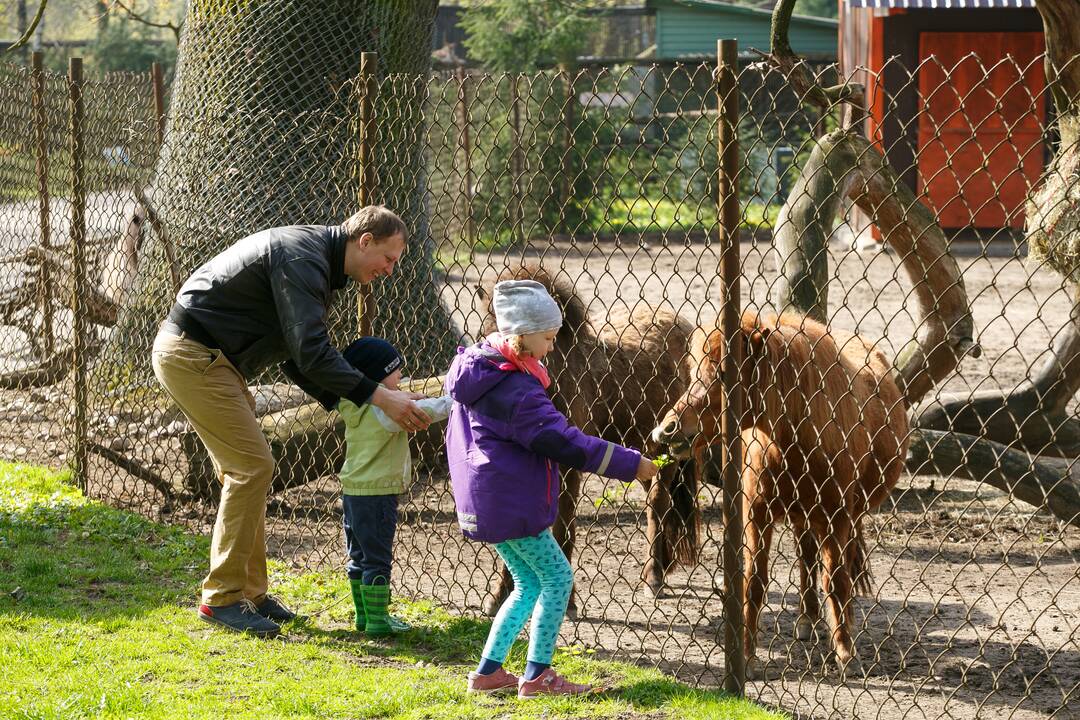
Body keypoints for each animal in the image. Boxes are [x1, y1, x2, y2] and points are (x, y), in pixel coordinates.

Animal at [479, 267, 699, 617]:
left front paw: (566, 602)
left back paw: (654, 577)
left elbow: (564, 528)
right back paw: (660, 569)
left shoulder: (569, 470)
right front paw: (498, 596)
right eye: (486, 333)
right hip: (643, 450)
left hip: (666, 449)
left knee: (658, 504)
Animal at [648, 310, 911, 677]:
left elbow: (836, 580)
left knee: (832, 565)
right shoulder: (757, 517)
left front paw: (846, 654)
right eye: (695, 369)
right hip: (803, 518)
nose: (666, 430)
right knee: (806, 555)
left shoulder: (838, 518)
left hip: (842, 517)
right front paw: (746, 656)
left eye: (724, 373)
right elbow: (755, 583)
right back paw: (808, 618)